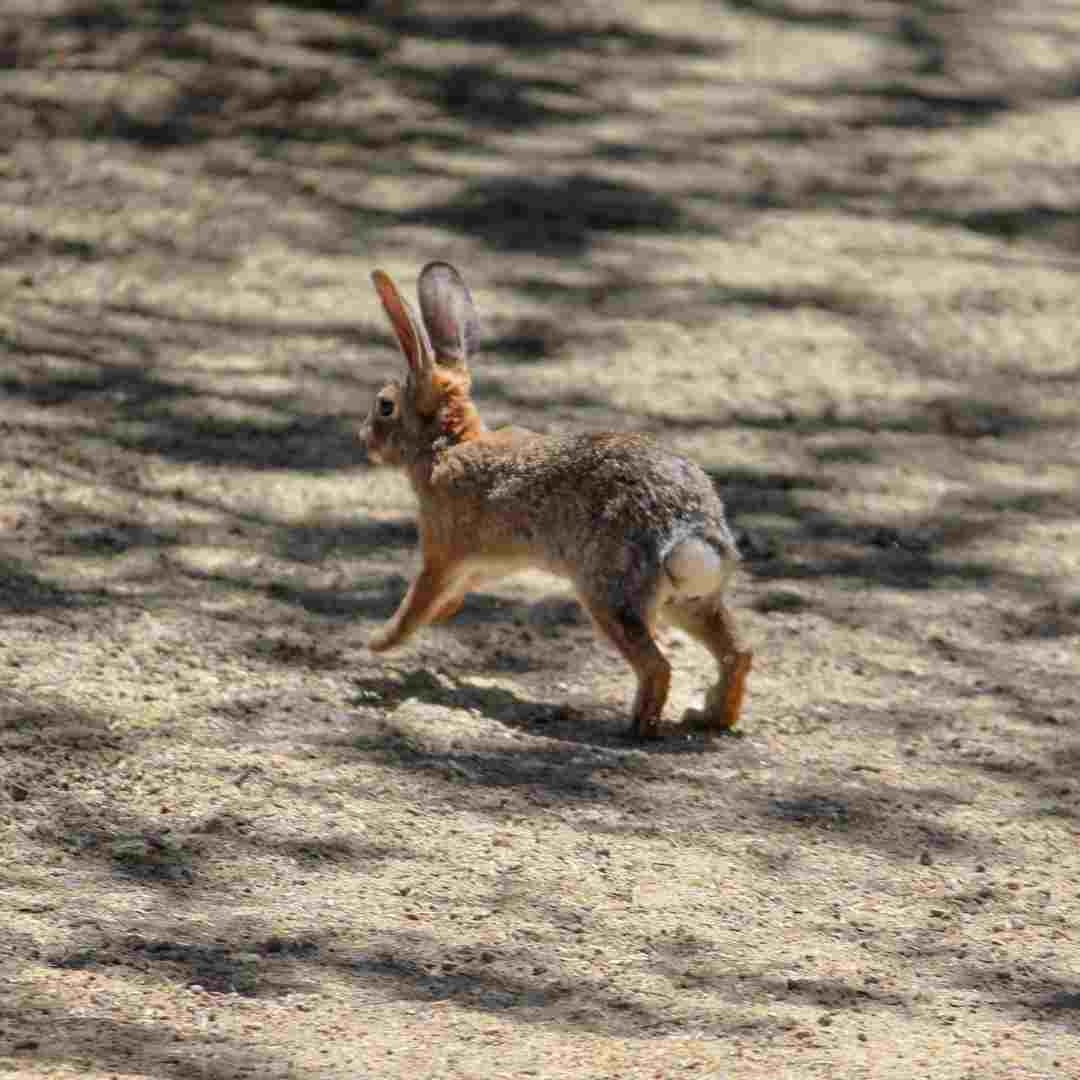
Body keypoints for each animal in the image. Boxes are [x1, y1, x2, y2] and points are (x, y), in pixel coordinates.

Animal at [362, 257, 751, 738]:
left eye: (385, 406)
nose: (364, 440)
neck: (447, 446)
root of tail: (693, 532)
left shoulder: (443, 551)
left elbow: (416, 602)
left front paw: (379, 642)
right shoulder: (488, 563)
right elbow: (455, 592)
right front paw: (441, 615)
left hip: (608, 594)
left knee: (658, 667)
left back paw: (634, 727)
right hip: (688, 602)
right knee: (737, 654)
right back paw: (709, 717)